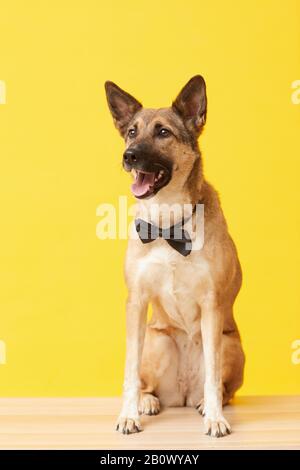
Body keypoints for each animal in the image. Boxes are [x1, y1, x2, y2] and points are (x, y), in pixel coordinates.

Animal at [104, 74, 245, 436]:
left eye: (163, 132)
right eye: (132, 132)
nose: (128, 156)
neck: (167, 225)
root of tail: (181, 393)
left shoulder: (212, 305)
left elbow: (213, 376)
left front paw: (215, 418)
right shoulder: (136, 302)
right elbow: (129, 371)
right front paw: (128, 414)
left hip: (232, 346)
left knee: (219, 385)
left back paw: (207, 403)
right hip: (158, 340)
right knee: (147, 383)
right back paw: (148, 402)